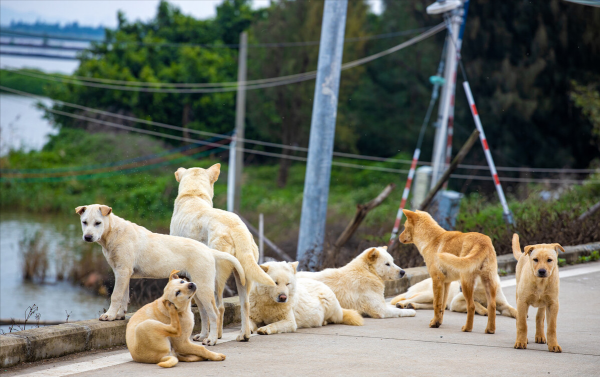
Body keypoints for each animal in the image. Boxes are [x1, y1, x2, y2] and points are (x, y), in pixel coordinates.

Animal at [76, 204, 245, 346]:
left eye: (98, 223)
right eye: (84, 222)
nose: (88, 237)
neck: (114, 232)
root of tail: (209, 250)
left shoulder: (122, 271)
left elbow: (116, 295)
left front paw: (109, 316)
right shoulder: (123, 272)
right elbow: (124, 296)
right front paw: (119, 315)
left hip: (204, 287)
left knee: (214, 313)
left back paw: (211, 340)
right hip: (196, 288)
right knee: (204, 313)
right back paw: (202, 336)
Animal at [170, 163, 276, 342]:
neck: (193, 194)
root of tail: (236, 228)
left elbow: (203, 311)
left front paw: (203, 335)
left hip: (217, 278)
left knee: (218, 307)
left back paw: (214, 337)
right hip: (243, 276)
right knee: (245, 304)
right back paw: (243, 335)